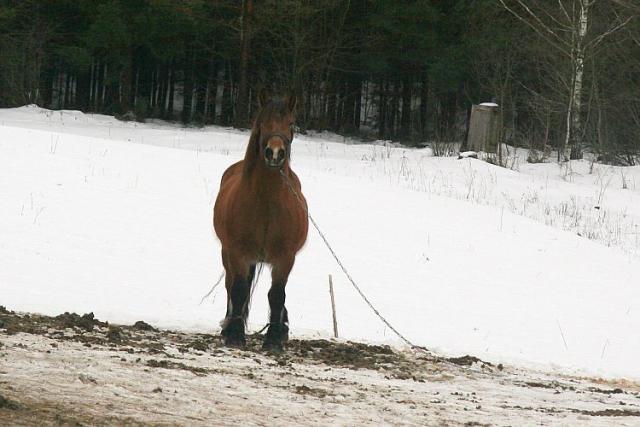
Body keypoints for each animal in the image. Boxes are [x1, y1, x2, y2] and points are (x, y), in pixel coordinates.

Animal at [213, 92, 308, 352]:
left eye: (291, 124)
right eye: (263, 124)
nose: (274, 153)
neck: (266, 204)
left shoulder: (285, 258)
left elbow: (277, 295)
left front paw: (274, 338)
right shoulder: (238, 254)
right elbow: (238, 290)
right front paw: (235, 335)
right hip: (227, 255)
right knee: (232, 285)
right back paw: (228, 325)